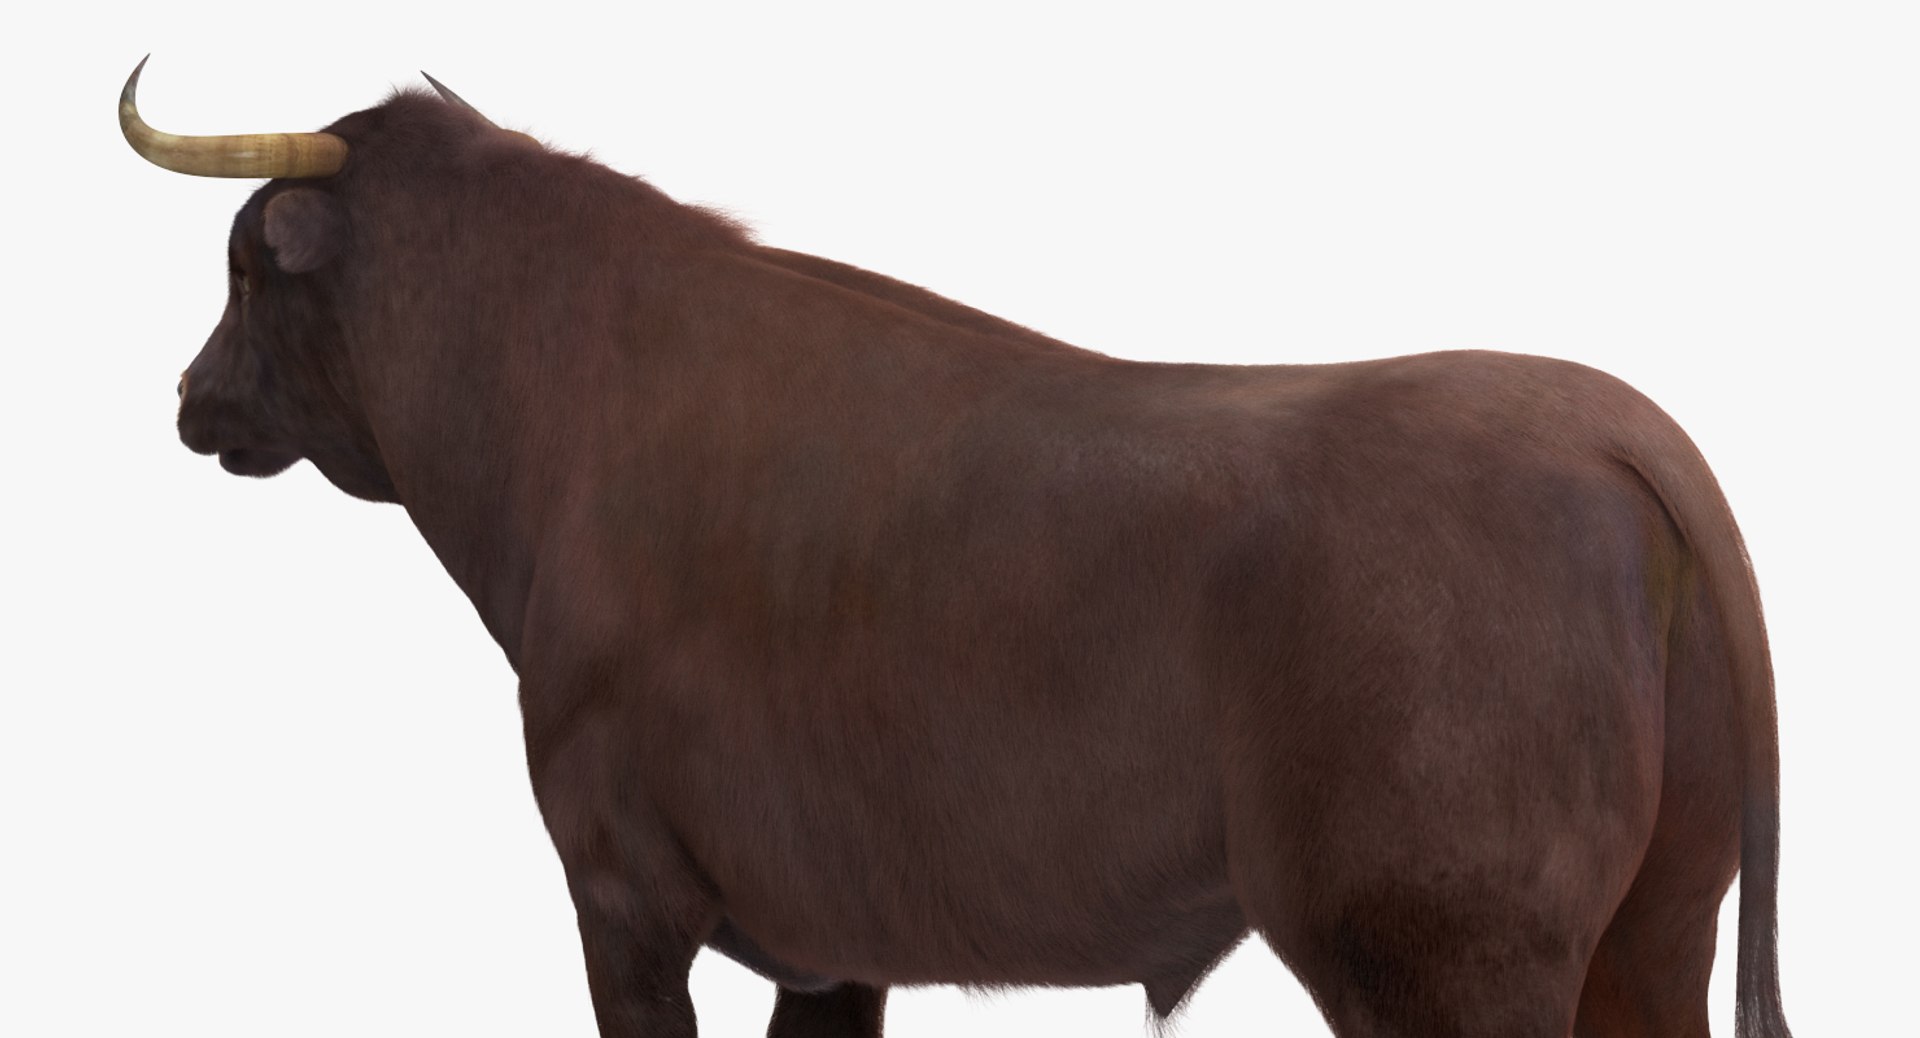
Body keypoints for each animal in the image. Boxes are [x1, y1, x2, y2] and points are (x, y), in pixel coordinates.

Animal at [122, 57, 1793, 1038]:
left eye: (242, 267)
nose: (191, 400)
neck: (563, 409)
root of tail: (1608, 421)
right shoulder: (828, 932)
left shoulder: (623, 891)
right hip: (1656, 933)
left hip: (1449, 954)